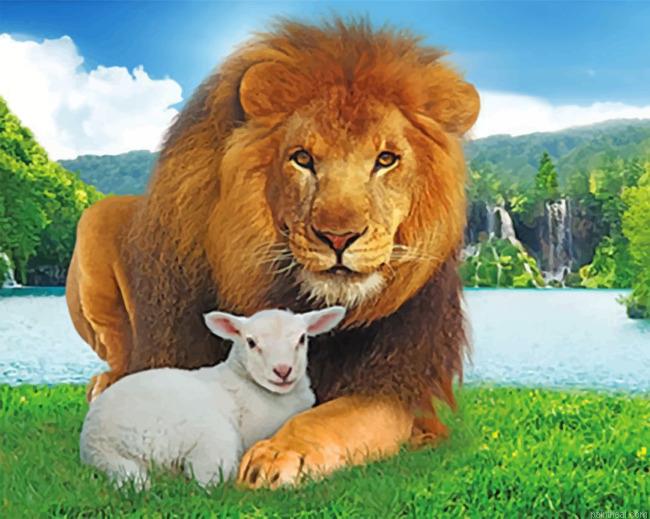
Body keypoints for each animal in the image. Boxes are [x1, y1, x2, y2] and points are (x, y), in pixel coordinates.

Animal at [79, 305, 346, 489]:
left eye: (302, 339)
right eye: (251, 342)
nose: (283, 371)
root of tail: (100, 445)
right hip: (209, 436)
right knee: (206, 479)